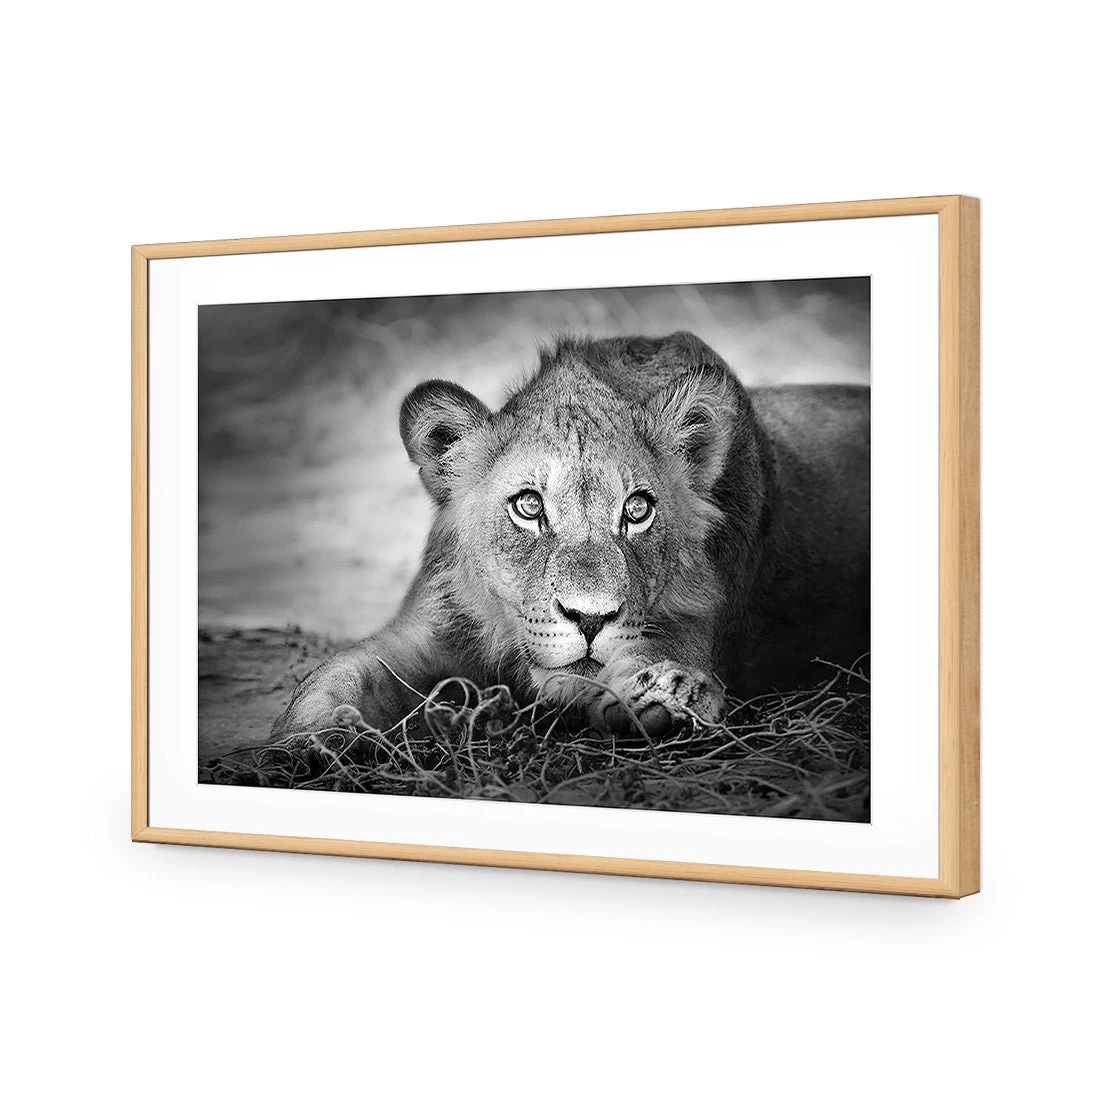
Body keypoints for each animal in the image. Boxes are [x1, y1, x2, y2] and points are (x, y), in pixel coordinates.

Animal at [272, 331, 869, 740]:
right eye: (529, 506)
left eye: (637, 510)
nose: (589, 619)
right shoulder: (428, 630)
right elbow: (335, 675)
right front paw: (305, 743)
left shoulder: (700, 623)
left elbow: (659, 655)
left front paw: (667, 695)